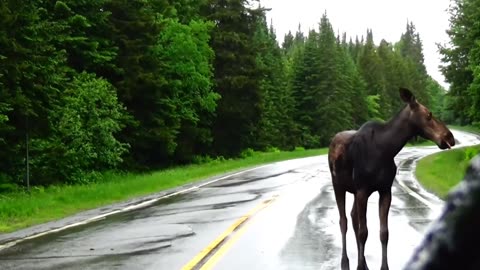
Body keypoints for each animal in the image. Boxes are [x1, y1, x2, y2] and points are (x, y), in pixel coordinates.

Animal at [328, 88, 456, 270]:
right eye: (429, 114)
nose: (449, 137)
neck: (386, 149)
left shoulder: (385, 190)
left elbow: (384, 232)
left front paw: (382, 266)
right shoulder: (363, 190)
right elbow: (363, 232)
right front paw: (359, 266)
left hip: (353, 190)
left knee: (353, 217)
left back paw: (363, 260)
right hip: (338, 185)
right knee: (344, 221)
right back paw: (345, 262)